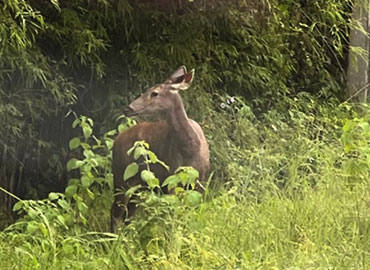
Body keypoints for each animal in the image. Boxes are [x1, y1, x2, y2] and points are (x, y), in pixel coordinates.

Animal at [110, 65, 210, 232]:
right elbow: (174, 218)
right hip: (121, 176)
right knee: (116, 211)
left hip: (140, 184)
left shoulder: (200, 182)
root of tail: (116, 141)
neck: (191, 149)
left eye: (155, 93)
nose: (128, 108)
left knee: (129, 213)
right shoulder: (171, 179)